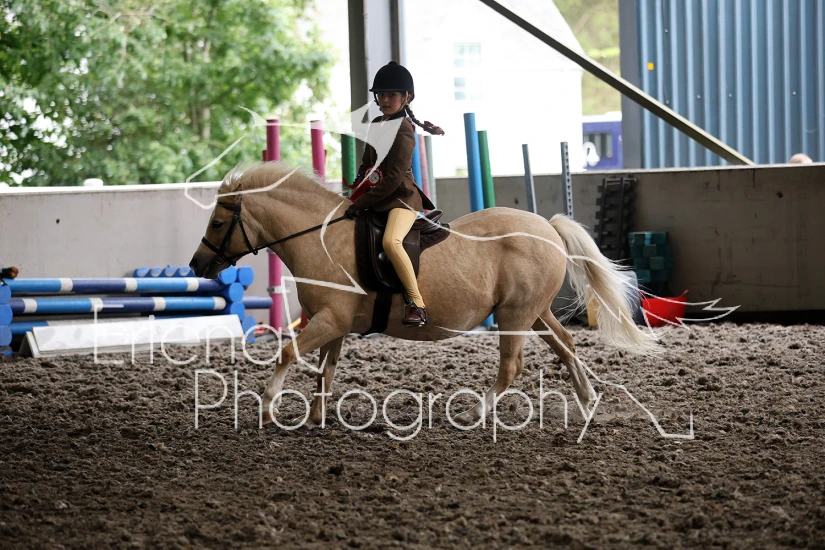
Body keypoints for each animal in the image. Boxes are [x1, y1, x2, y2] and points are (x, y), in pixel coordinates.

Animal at [189, 162, 659, 427]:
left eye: (217, 223)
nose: (196, 266)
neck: (319, 239)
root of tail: (547, 226)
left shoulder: (330, 321)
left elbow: (287, 353)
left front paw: (267, 408)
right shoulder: (334, 324)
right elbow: (326, 370)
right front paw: (317, 418)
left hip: (515, 316)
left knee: (513, 366)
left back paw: (472, 414)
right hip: (535, 312)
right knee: (566, 344)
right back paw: (588, 404)